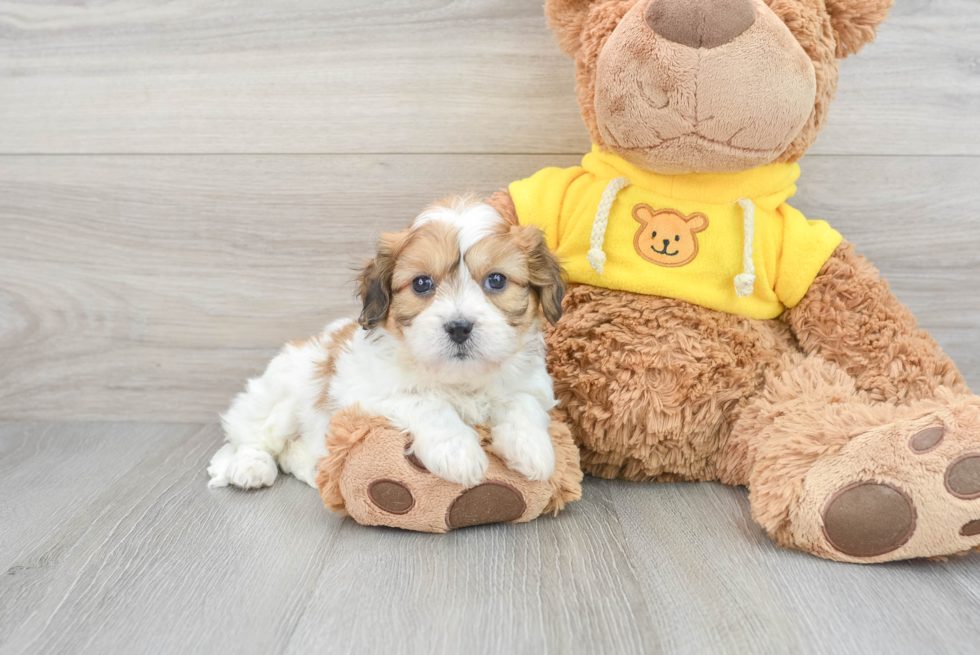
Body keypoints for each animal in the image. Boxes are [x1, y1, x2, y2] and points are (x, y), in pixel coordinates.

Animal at [207, 199, 568, 492]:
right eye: (422, 283)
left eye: (496, 280)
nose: (459, 327)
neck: (457, 378)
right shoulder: (365, 396)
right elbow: (427, 402)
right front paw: (457, 452)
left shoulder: (532, 384)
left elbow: (523, 402)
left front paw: (533, 448)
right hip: (281, 397)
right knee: (252, 436)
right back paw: (250, 467)